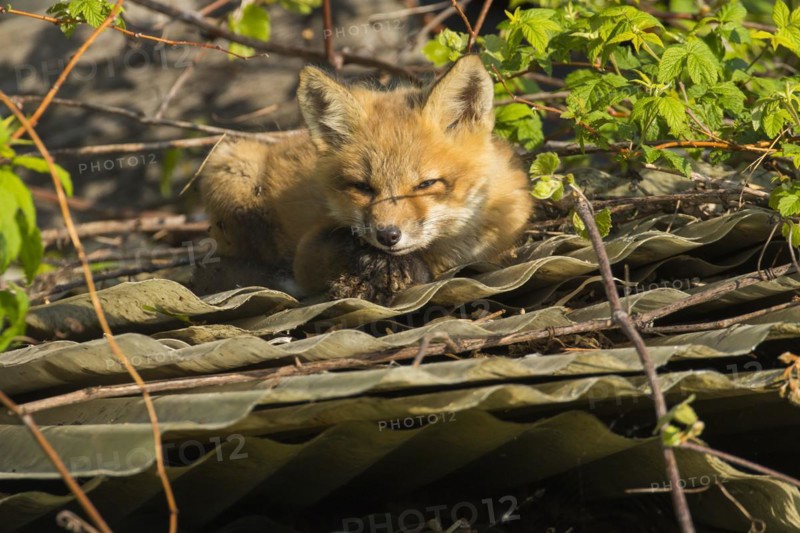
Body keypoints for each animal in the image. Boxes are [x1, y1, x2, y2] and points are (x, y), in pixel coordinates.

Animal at [197, 55, 533, 304]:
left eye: (426, 184)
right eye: (362, 187)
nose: (388, 235)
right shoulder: (307, 255)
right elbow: (341, 243)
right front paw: (377, 264)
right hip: (230, 166)